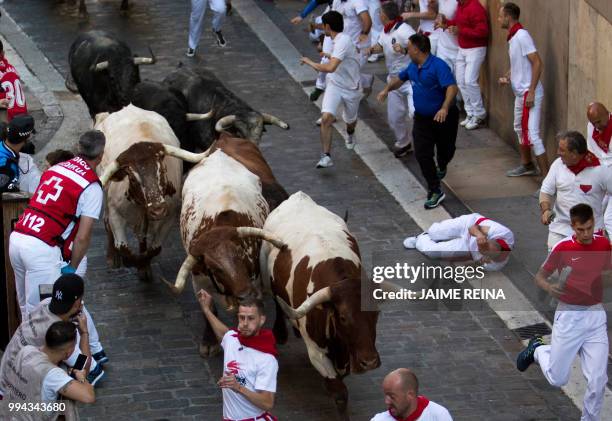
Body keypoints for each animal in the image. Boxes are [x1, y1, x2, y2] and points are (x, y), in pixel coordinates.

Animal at [94, 104, 212, 280]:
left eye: (162, 170)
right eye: (132, 178)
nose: (158, 210)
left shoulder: (169, 217)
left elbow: (154, 249)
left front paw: (144, 266)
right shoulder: (116, 215)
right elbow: (124, 248)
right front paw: (129, 261)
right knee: (106, 222)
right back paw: (113, 258)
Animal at [163, 149, 286, 356]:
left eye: (241, 254)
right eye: (215, 268)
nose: (245, 294)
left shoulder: (254, 281)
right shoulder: (199, 281)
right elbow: (210, 309)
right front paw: (209, 341)